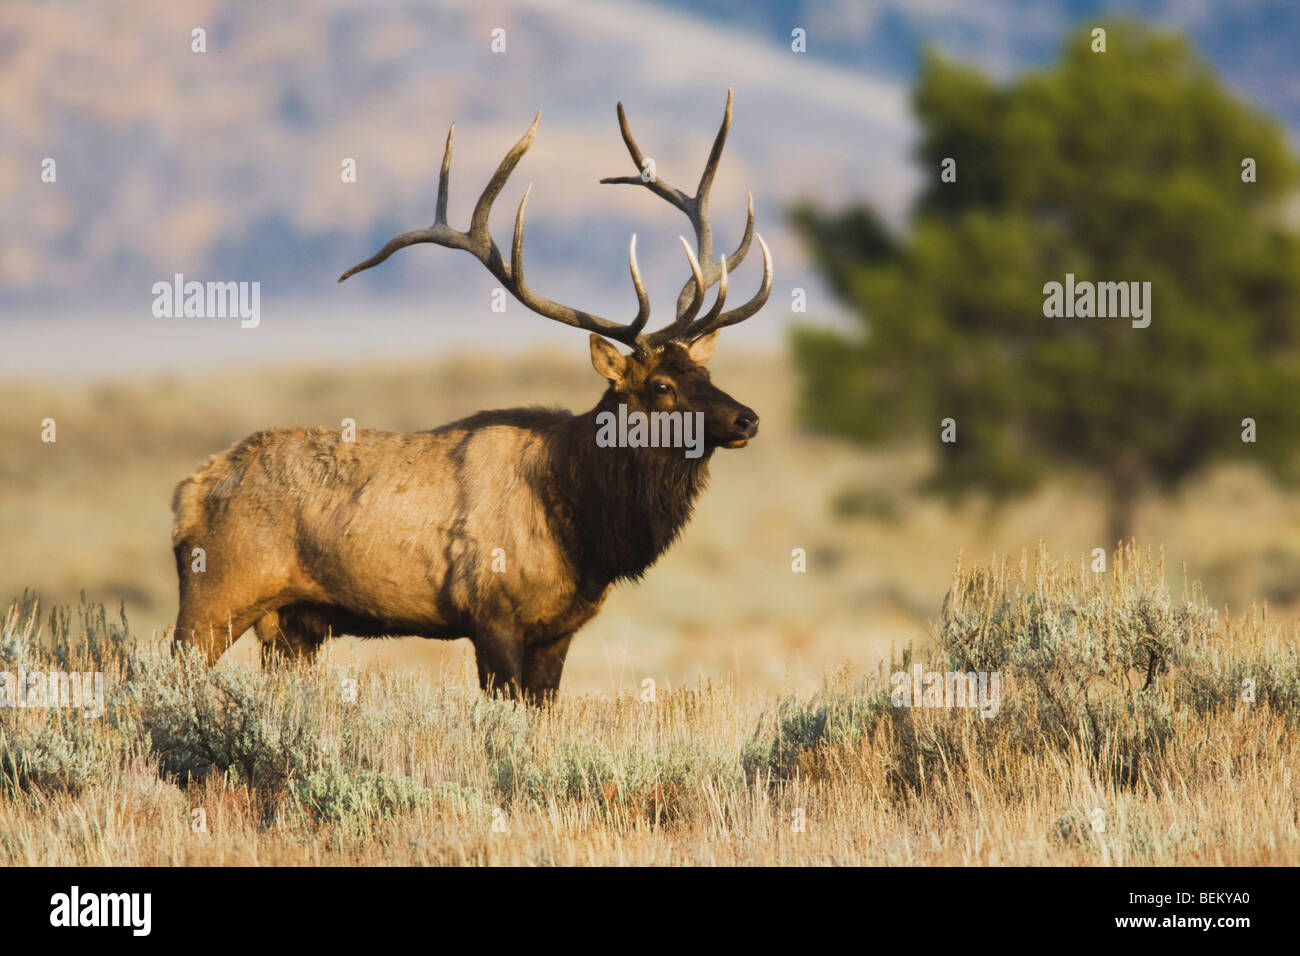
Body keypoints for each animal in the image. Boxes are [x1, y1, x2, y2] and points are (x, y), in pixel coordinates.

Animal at [167, 89, 764, 697]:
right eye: (662, 385)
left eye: (706, 375)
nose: (747, 419)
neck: (584, 526)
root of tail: (189, 491)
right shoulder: (491, 613)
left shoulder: (558, 629)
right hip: (215, 596)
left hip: (293, 624)